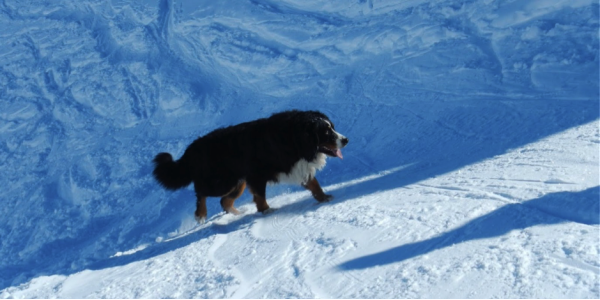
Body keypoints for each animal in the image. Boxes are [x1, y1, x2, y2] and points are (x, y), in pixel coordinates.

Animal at [152, 110, 350, 223]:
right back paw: (200, 215)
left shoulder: (298, 166)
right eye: (326, 132)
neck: (295, 139)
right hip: (223, 182)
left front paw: (324, 198)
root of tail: (193, 147)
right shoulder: (257, 175)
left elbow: (314, 184)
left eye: (332, 127)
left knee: (225, 201)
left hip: (238, 183)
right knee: (201, 192)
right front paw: (266, 211)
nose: (345, 139)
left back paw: (236, 213)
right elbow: (261, 197)